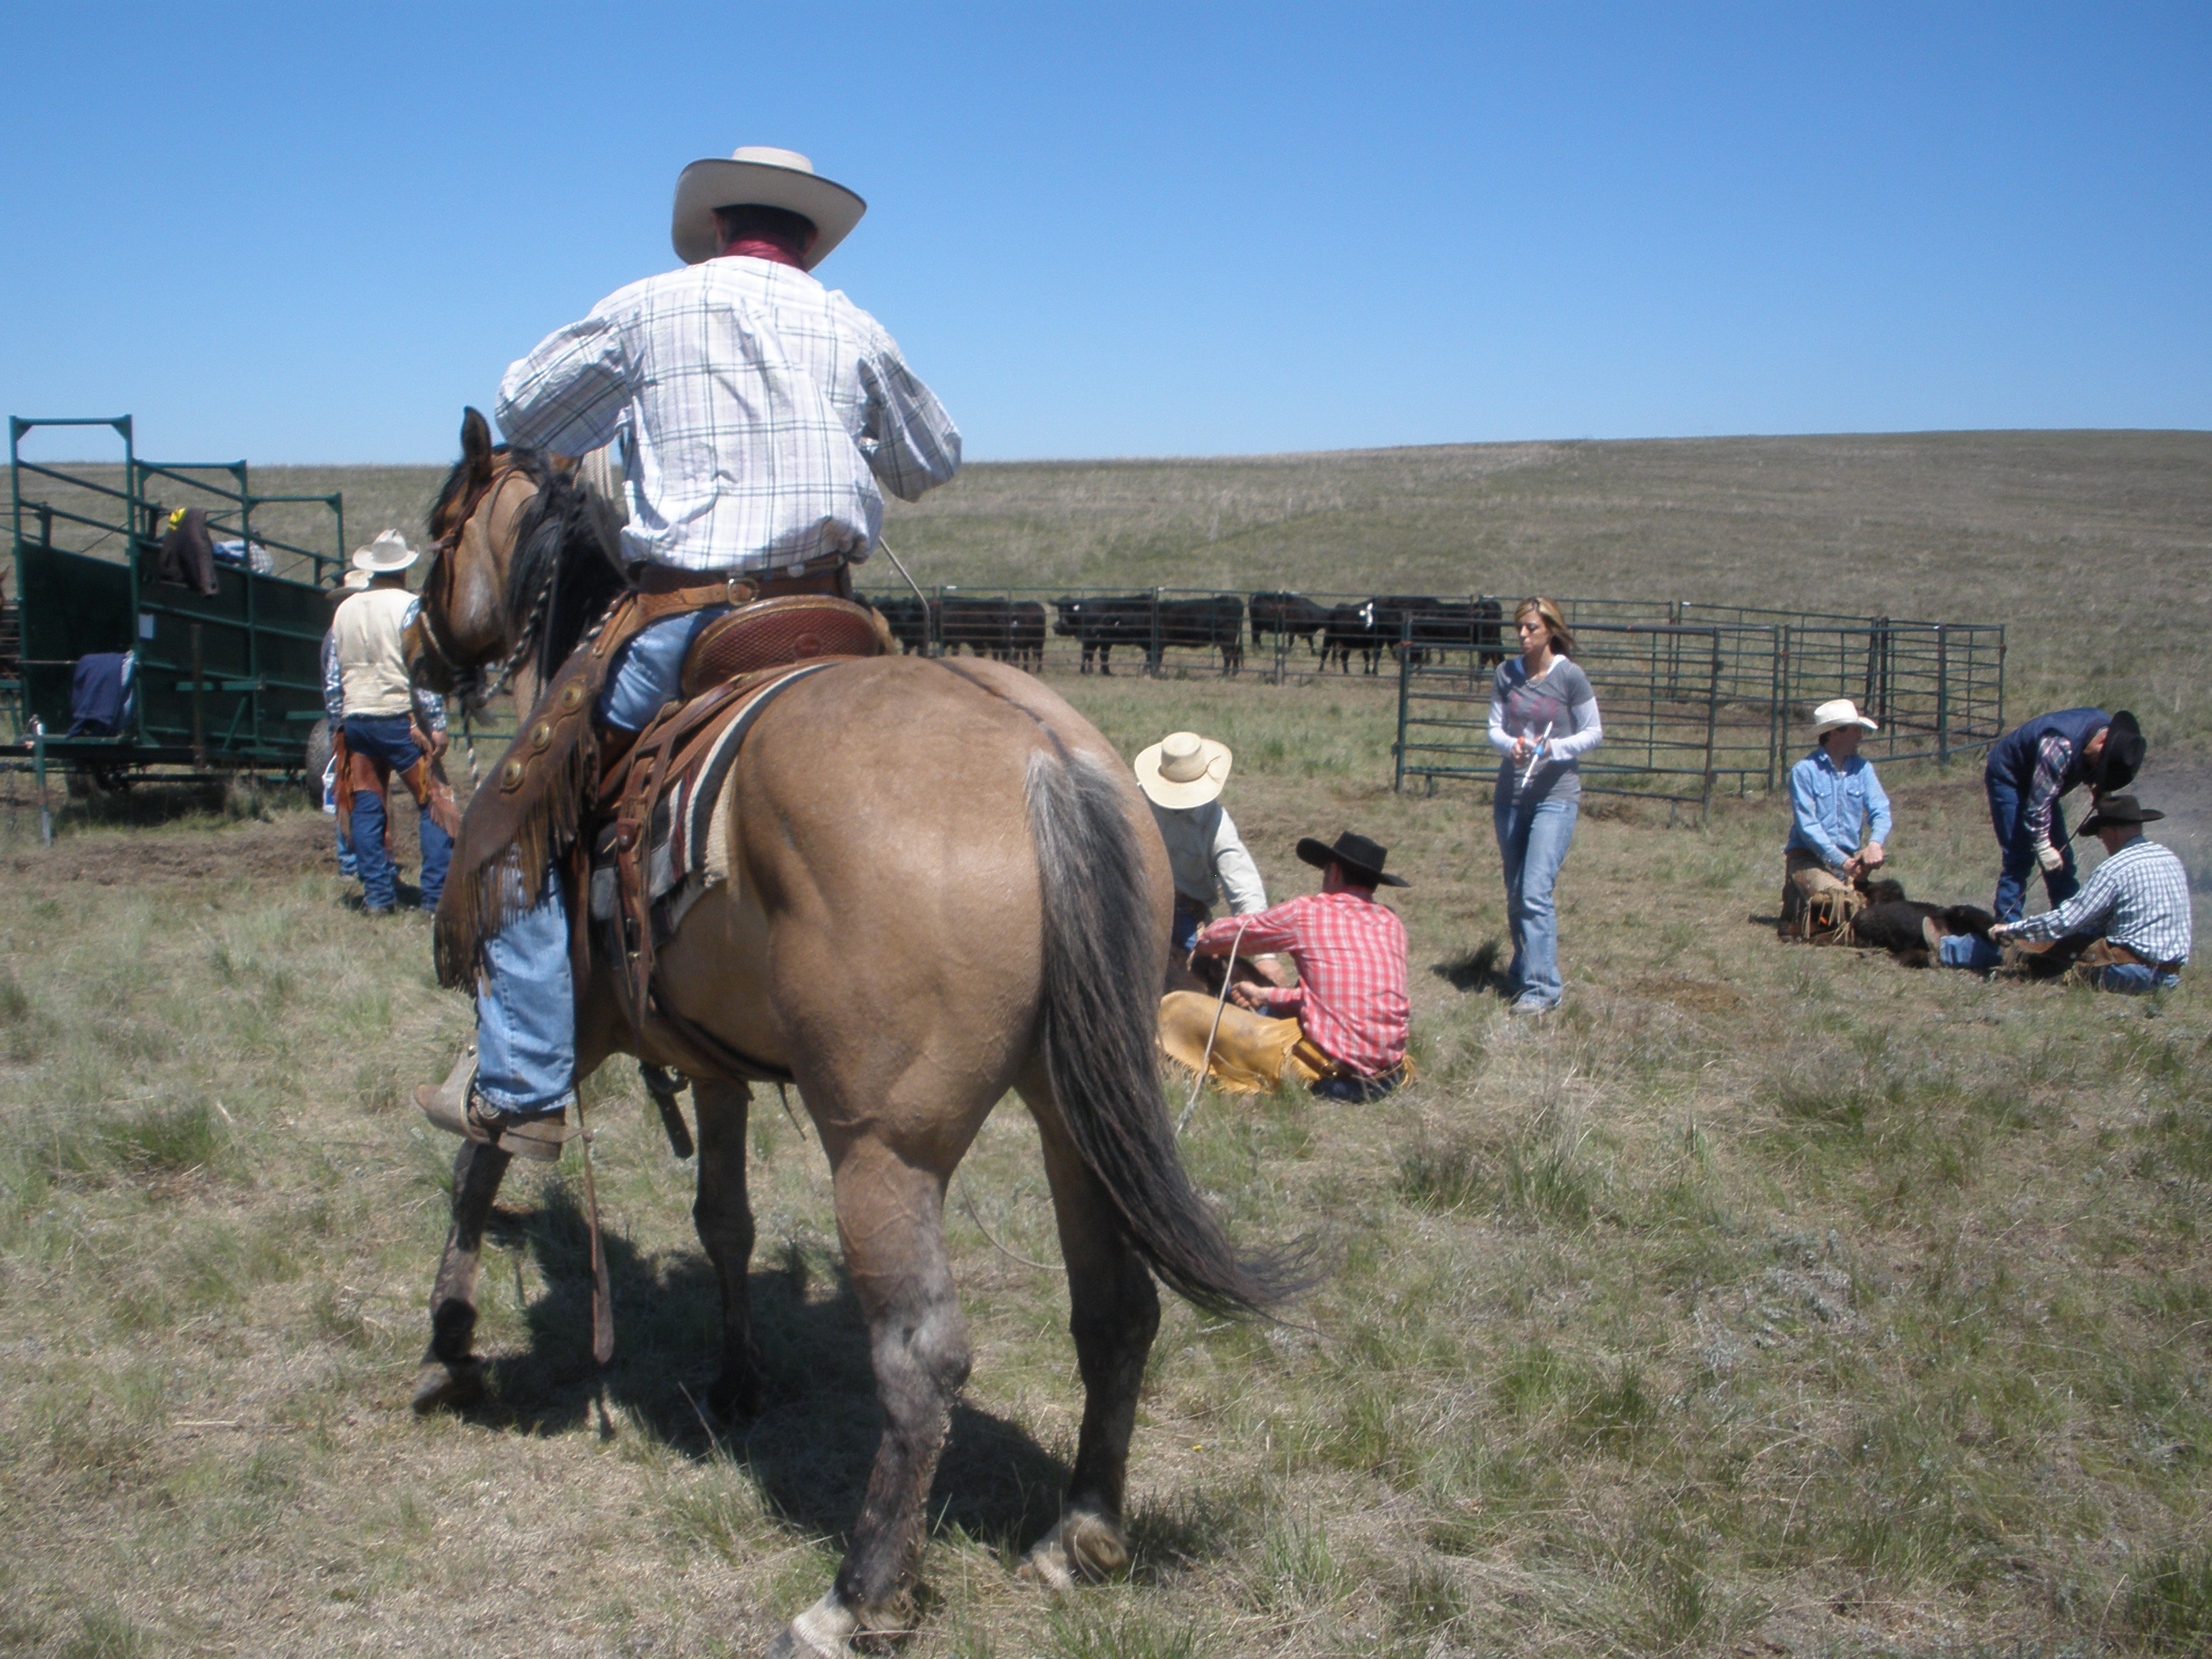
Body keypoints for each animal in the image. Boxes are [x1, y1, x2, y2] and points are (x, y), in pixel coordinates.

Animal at [405, 409, 1299, 1656]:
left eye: (444, 529)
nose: (417, 646)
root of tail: (1041, 761)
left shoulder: (569, 1023)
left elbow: (483, 1149)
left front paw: (447, 1351)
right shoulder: (714, 1061)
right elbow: (723, 1218)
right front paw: (735, 1377)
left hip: (885, 1151)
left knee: (921, 1358)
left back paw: (861, 1593)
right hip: (1071, 1108)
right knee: (1116, 1309)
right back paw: (1078, 1531)